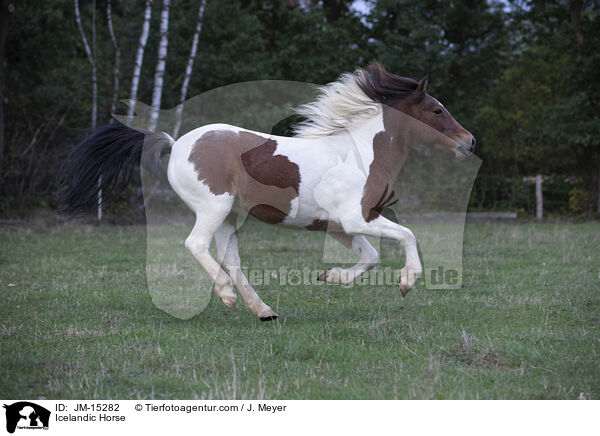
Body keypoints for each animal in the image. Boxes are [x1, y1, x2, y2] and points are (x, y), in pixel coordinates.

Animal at [58, 62, 476, 320]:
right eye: (437, 111)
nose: (469, 141)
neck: (361, 152)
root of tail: (175, 144)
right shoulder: (358, 218)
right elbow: (408, 236)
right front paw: (407, 283)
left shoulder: (340, 226)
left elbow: (370, 257)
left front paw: (331, 277)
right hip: (213, 208)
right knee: (197, 245)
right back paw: (227, 295)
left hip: (230, 216)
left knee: (231, 260)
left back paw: (263, 311)